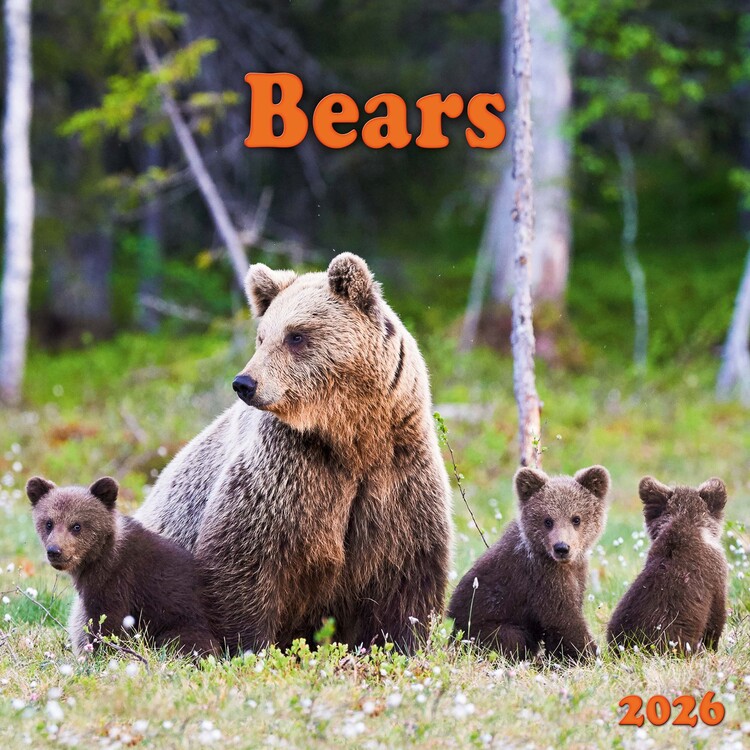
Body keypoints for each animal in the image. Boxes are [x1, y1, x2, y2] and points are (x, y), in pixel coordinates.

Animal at [28, 475, 217, 657]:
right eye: (49, 523)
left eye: (76, 526)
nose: (54, 551)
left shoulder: (117, 581)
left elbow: (108, 622)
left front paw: (100, 653)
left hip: (185, 622)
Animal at [135, 252, 453, 653]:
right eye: (262, 336)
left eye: (296, 335)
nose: (244, 383)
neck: (351, 437)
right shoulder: (287, 473)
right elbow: (244, 563)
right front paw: (247, 646)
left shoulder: (397, 474)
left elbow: (407, 575)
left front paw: (401, 644)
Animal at [447, 465, 611, 661]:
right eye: (548, 520)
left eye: (576, 518)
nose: (562, 547)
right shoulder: (542, 577)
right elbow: (563, 619)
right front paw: (592, 655)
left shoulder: (576, 573)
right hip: (482, 626)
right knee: (511, 638)